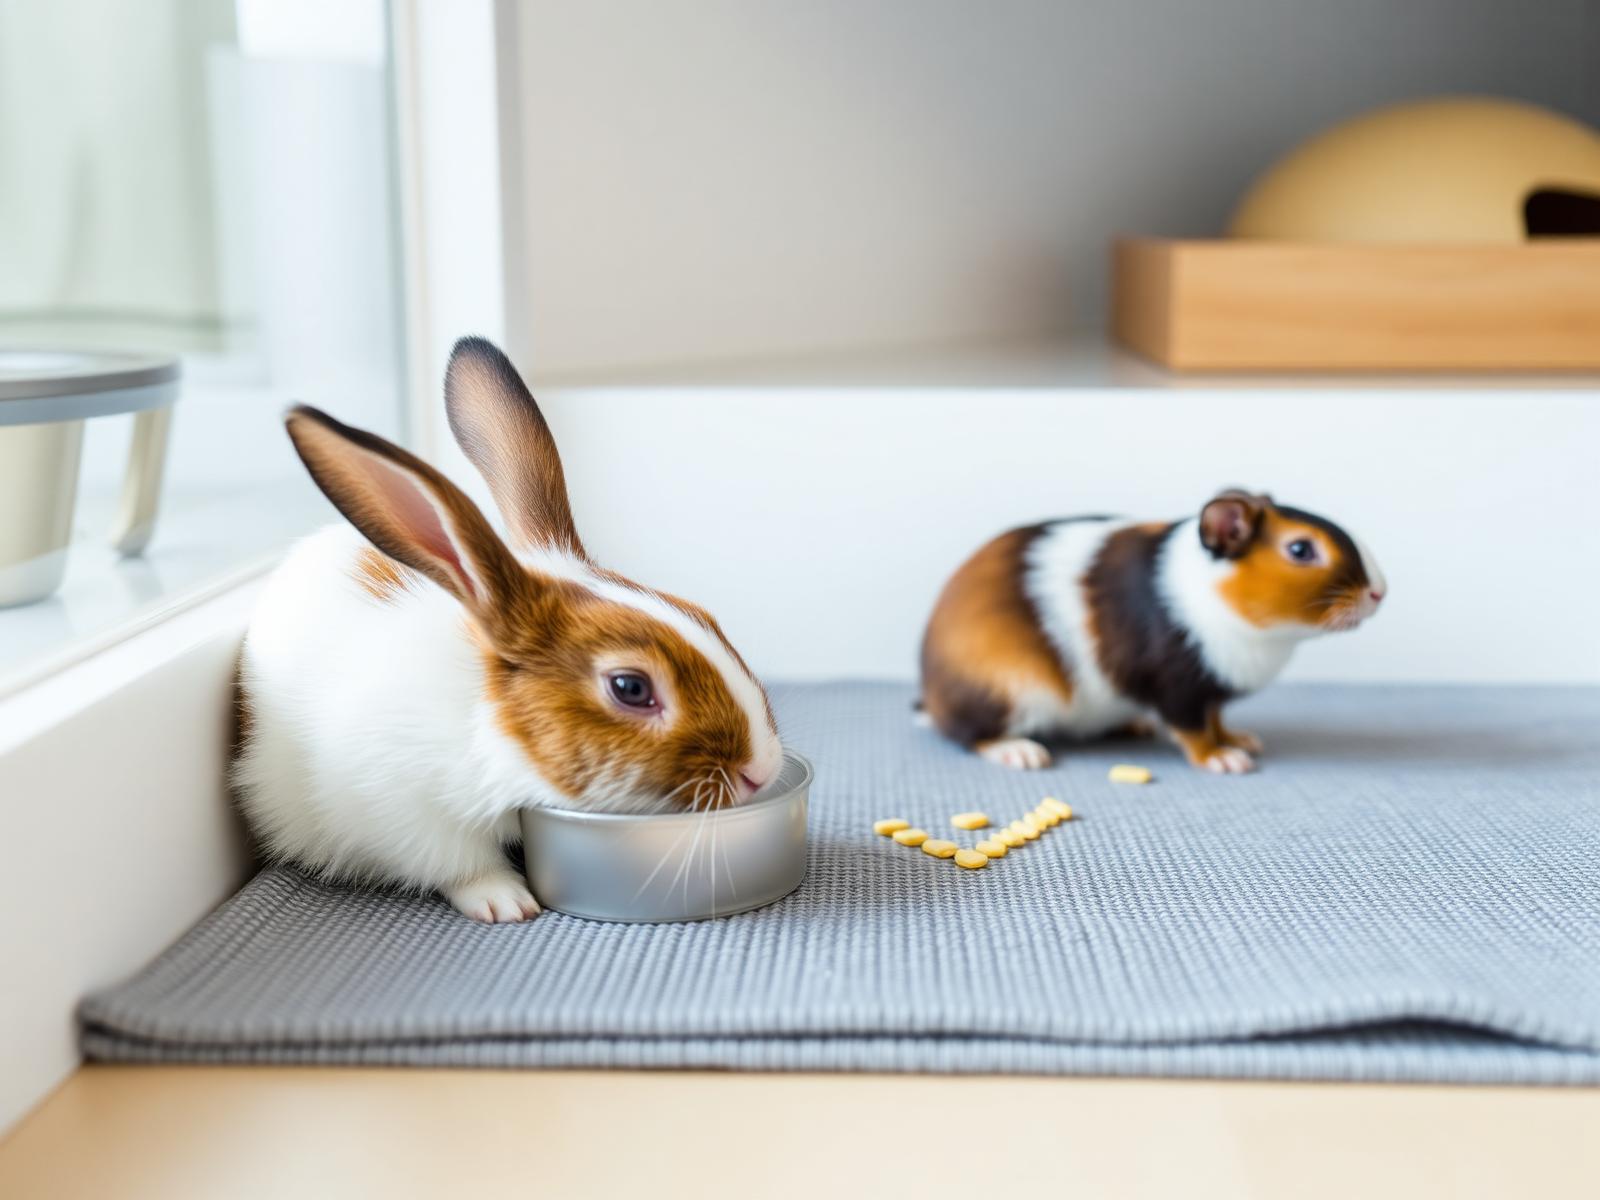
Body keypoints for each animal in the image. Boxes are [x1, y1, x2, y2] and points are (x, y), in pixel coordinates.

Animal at [233, 337, 783, 922]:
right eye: (630, 688)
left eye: (704, 615)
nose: (761, 769)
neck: (492, 726)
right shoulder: (404, 810)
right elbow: (461, 864)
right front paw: (506, 902)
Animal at [918, 489, 1386, 774]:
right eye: (1300, 549)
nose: (1379, 592)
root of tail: (931, 694)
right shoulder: (1179, 688)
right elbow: (1195, 731)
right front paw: (1226, 760)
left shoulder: (1210, 692)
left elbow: (1218, 720)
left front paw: (1243, 742)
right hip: (1005, 695)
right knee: (967, 735)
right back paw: (1023, 753)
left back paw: (1135, 727)